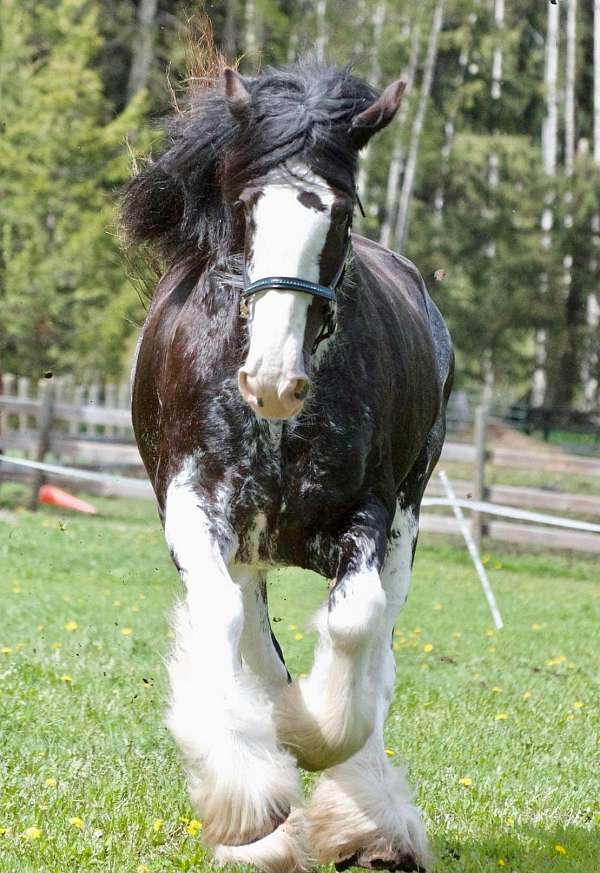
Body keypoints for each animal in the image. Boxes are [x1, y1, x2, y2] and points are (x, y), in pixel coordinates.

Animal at [123, 59, 454, 872]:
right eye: (246, 207)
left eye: (338, 214)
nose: (272, 378)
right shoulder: (197, 505)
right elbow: (225, 622)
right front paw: (248, 806)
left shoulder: (369, 513)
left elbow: (355, 625)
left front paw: (310, 733)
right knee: (249, 626)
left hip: (408, 520)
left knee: (379, 644)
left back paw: (374, 822)